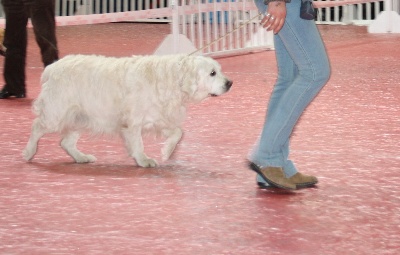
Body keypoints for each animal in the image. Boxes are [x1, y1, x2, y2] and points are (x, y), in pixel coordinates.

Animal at [22, 54, 231, 167]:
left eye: (219, 70)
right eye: (212, 73)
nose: (230, 83)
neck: (173, 79)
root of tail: (51, 68)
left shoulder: (158, 118)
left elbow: (178, 132)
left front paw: (167, 152)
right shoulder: (133, 122)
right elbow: (138, 143)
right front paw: (144, 160)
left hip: (80, 117)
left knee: (66, 142)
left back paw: (81, 157)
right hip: (57, 112)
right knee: (36, 126)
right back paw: (29, 152)